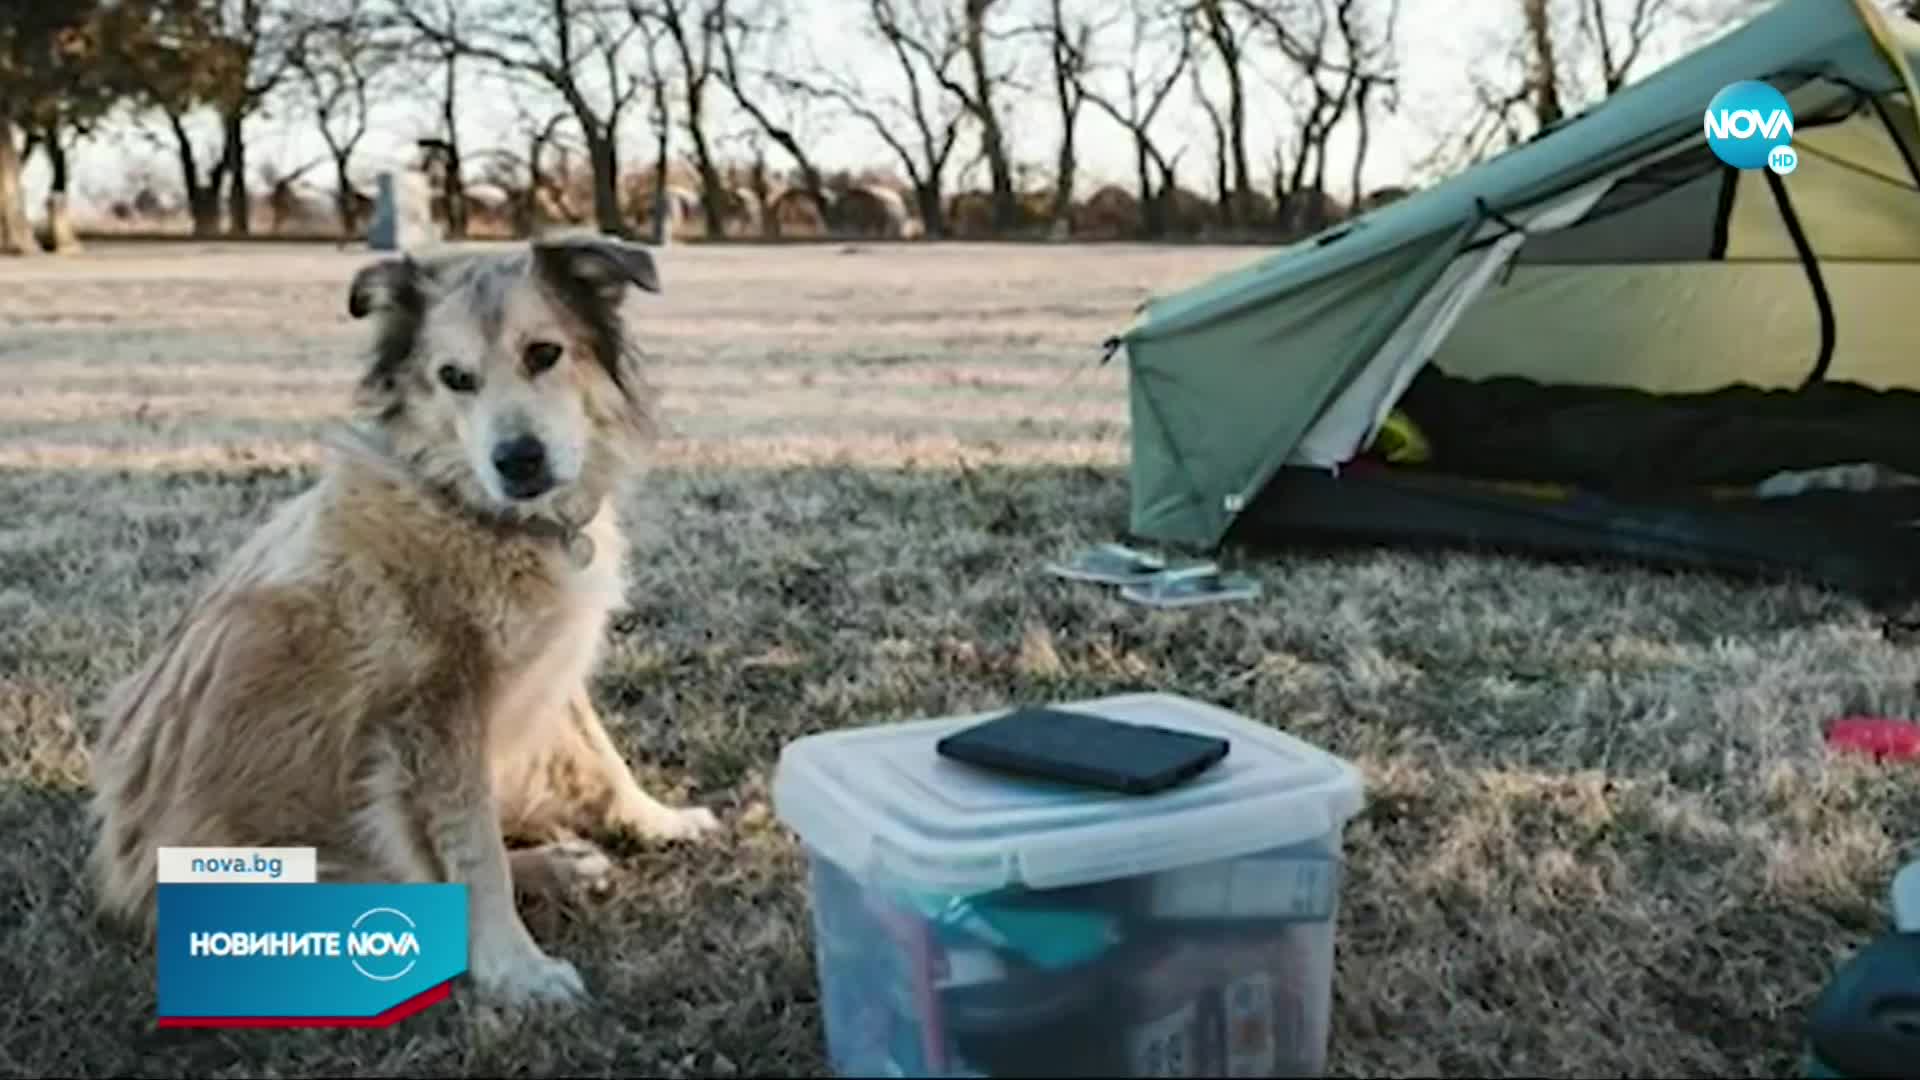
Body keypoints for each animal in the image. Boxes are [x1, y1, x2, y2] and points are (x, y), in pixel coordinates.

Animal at [84, 233, 721, 999]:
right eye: (454, 377)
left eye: (545, 353)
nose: (518, 461)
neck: (466, 506)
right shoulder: (435, 712)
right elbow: (476, 853)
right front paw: (515, 968)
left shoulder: (548, 668)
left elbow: (599, 755)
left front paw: (656, 819)